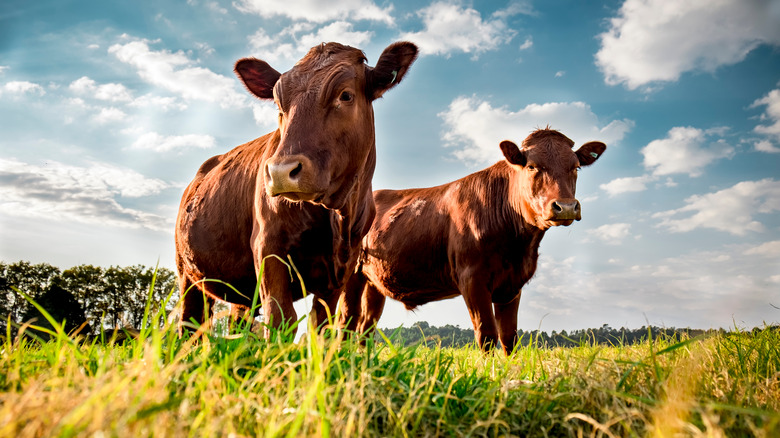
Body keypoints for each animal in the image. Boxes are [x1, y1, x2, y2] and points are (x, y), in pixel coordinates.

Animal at [176, 42, 418, 336]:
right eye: (280, 105)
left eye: (345, 95)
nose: (281, 172)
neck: (337, 216)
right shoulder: (267, 245)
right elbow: (281, 318)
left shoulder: (342, 269)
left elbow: (322, 325)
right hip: (187, 274)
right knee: (190, 323)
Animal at [344, 129, 608, 352]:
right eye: (532, 166)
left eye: (575, 167)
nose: (566, 207)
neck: (518, 248)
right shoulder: (471, 278)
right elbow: (487, 335)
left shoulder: (512, 284)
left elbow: (509, 337)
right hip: (351, 274)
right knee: (347, 322)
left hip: (374, 281)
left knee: (366, 328)